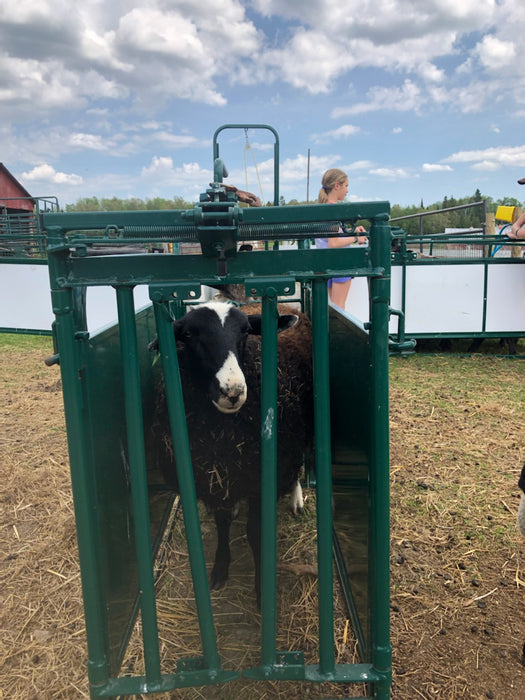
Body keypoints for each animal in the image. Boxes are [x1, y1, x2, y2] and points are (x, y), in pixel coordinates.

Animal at [150, 300, 313, 605]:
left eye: (246, 331)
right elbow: (222, 523)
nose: (233, 391)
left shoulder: (262, 477)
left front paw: (262, 589)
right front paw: (219, 568)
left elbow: (255, 533)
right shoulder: (214, 477)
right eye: (188, 334)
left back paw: (296, 496)